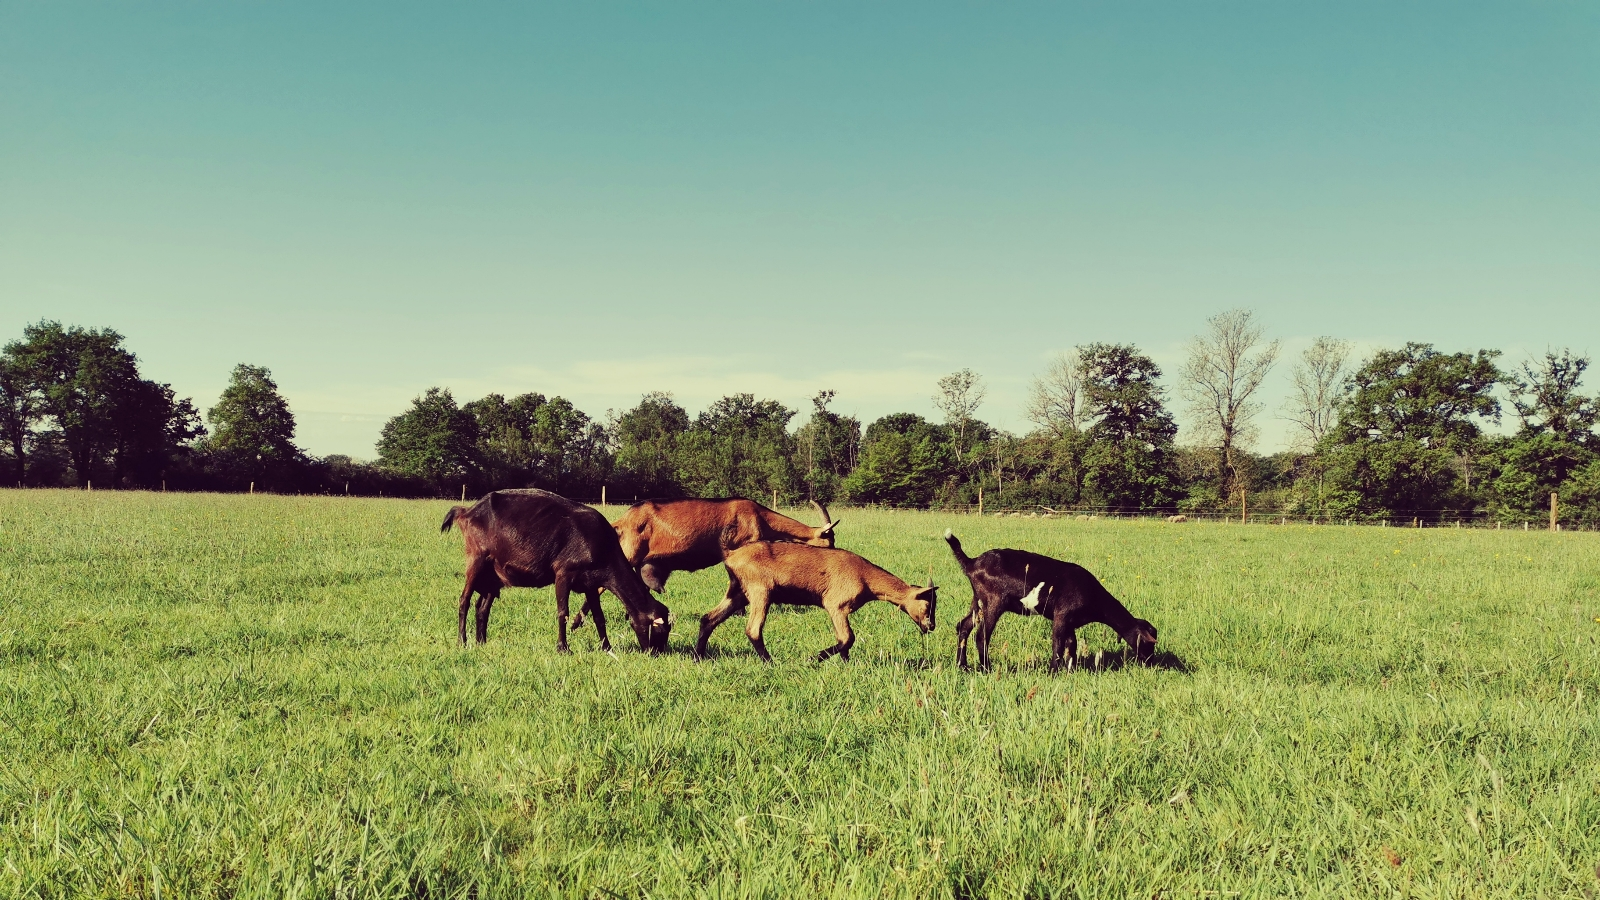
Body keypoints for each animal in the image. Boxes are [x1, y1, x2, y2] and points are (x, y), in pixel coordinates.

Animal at [441, 486, 672, 646]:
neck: (601, 544)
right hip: (477, 559)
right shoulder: (563, 574)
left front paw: (607, 647)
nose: (656, 653)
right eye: (660, 631)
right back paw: (462, 641)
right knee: (464, 600)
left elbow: (598, 616)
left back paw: (482, 642)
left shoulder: (590, 583)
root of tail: (467, 511)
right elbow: (563, 612)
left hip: (493, 575)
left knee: (482, 607)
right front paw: (563, 647)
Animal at [694, 538, 934, 659]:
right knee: (753, 629)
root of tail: (731, 555)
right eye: (926, 605)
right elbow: (847, 638)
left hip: (738, 592)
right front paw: (816, 658)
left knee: (708, 618)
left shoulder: (839, 611)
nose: (931, 626)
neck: (865, 576)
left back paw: (699, 656)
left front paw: (846, 664)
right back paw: (770, 661)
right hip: (760, 591)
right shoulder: (836, 605)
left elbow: (845, 641)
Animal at [940, 528, 1158, 669]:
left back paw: (962, 665)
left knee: (964, 626)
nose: (1150, 663)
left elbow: (1071, 644)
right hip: (993, 601)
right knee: (982, 635)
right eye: (1149, 643)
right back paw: (987, 668)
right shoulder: (1062, 615)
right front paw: (1054, 671)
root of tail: (972, 563)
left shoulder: (1070, 621)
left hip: (977, 600)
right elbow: (1058, 644)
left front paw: (1070, 669)